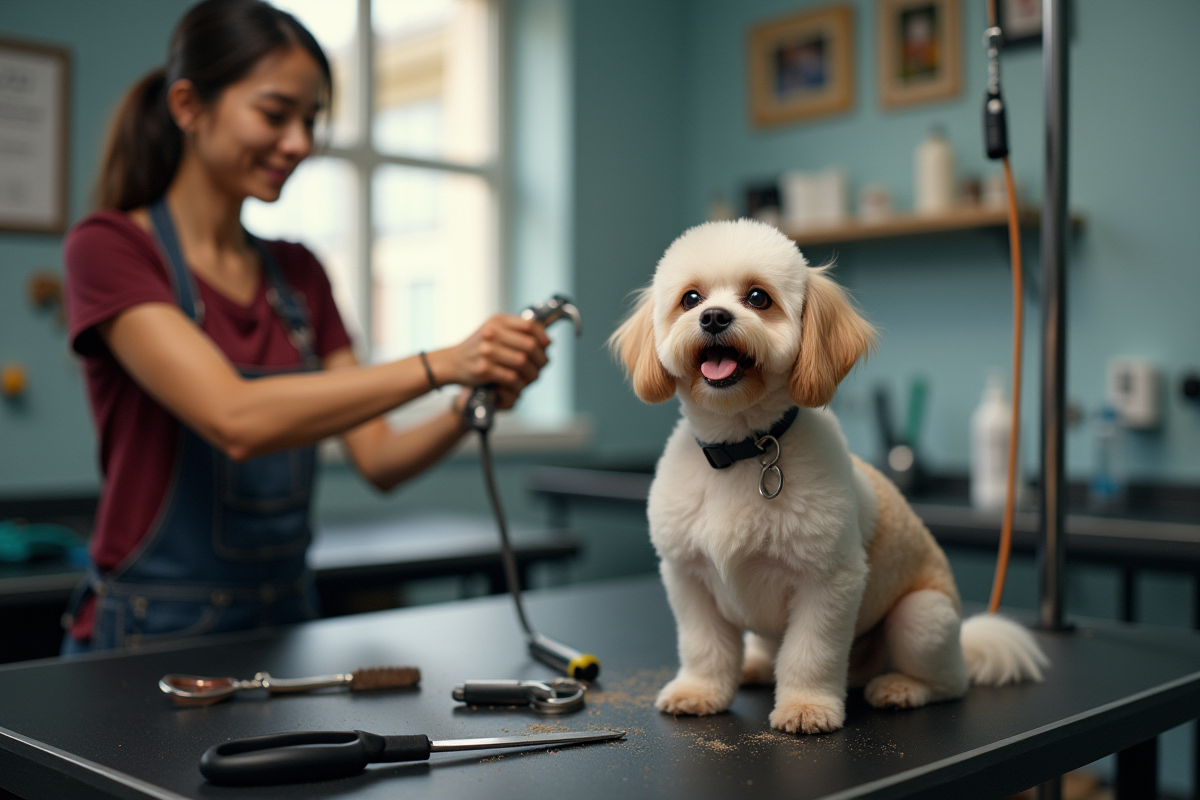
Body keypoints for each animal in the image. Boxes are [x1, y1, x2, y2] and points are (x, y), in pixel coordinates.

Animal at [614, 220, 1046, 738]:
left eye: (758, 297)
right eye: (691, 298)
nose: (714, 317)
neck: (742, 450)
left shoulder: (829, 582)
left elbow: (810, 653)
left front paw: (806, 707)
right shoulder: (688, 577)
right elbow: (704, 647)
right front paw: (700, 691)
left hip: (922, 617)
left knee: (951, 682)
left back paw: (902, 687)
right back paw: (754, 665)